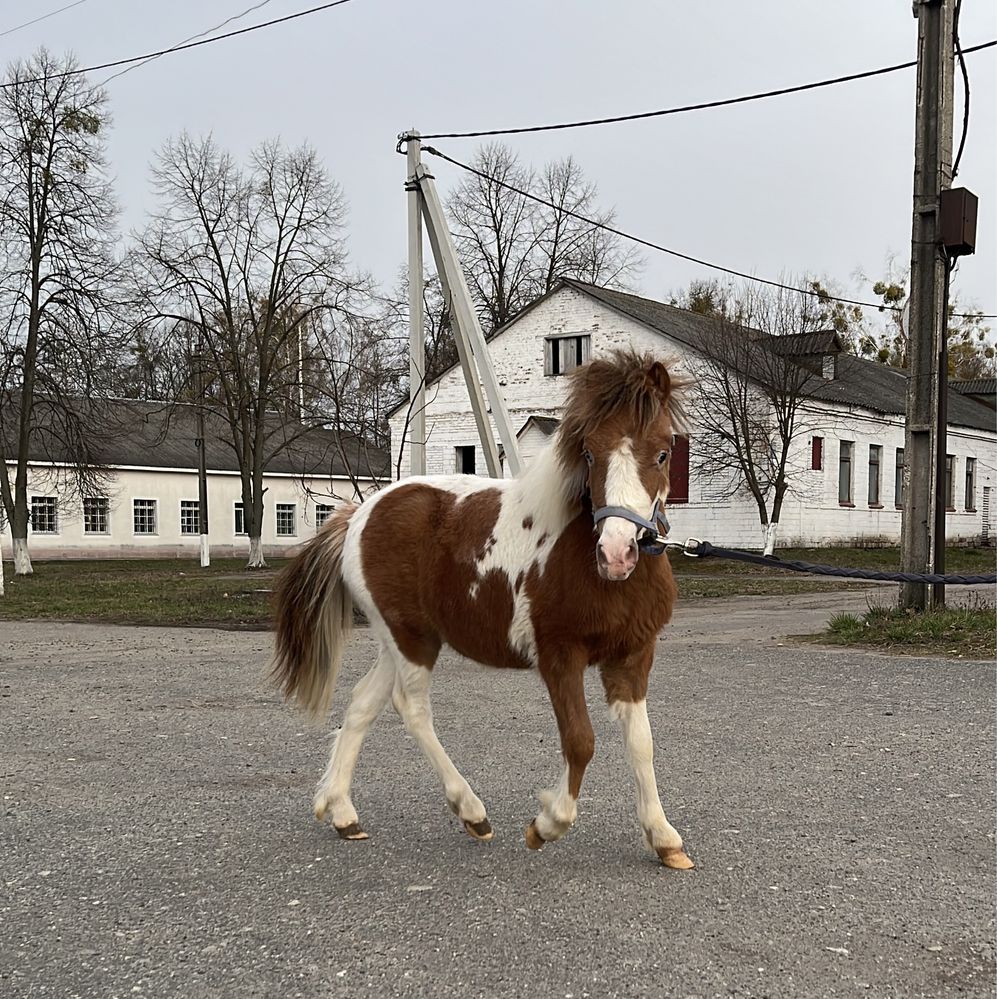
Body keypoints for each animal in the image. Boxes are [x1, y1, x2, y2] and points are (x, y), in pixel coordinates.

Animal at [270, 350, 692, 868]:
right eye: (590, 453)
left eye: (663, 452)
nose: (616, 553)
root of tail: (357, 515)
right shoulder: (559, 656)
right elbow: (581, 740)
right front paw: (546, 825)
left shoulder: (632, 657)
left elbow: (642, 744)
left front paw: (664, 838)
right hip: (410, 638)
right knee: (411, 708)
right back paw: (471, 811)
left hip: (400, 639)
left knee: (363, 702)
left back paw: (343, 813)